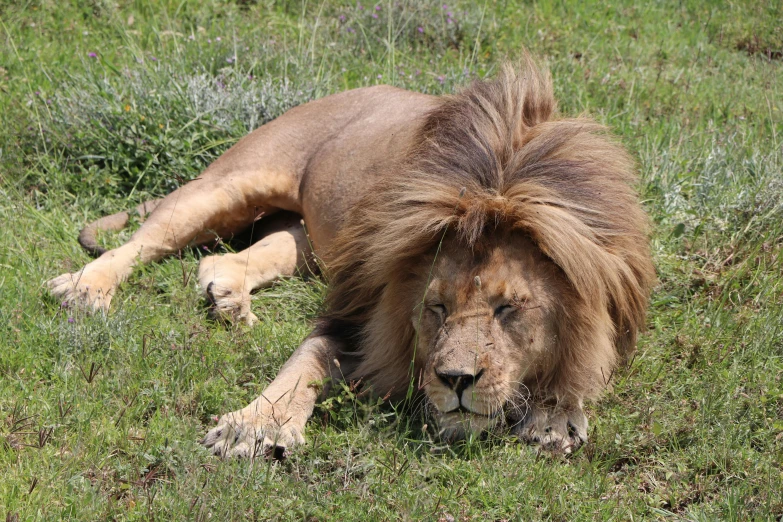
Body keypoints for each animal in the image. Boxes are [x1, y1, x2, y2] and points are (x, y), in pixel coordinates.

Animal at [47, 55, 656, 456]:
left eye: (509, 309)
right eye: (435, 307)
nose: (456, 380)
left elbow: (583, 362)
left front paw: (555, 416)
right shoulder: (354, 308)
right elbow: (302, 363)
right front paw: (254, 426)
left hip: (307, 241)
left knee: (230, 256)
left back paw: (229, 300)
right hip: (229, 185)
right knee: (140, 242)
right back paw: (84, 289)